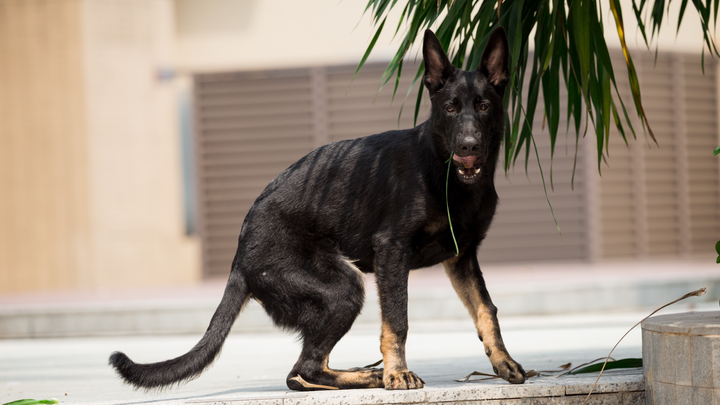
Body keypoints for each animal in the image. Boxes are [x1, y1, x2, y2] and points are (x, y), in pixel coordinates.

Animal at [112, 27, 528, 388]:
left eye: (484, 106)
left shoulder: (462, 257)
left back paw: (361, 374)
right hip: (345, 287)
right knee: (303, 370)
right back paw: (371, 376)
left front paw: (503, 362)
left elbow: (486, 311)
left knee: (301, 373)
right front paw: (397, 374)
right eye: (451, 108)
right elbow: (397, 320)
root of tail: (239, 259)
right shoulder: (392, 252)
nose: (469, 146)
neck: (444, 172)